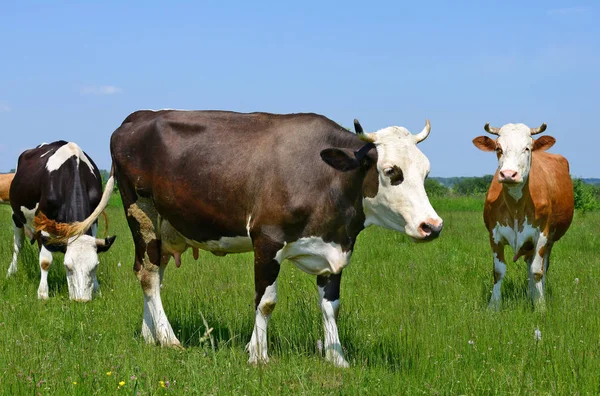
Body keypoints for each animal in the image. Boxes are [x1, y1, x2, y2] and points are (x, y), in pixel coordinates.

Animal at [7, 141, 116, 302]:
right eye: (67, 266)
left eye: (95, 266)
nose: (81, 300)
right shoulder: (44, 223)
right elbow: (45, 261)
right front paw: (43, 293)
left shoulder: (93, 220)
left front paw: (96, 289)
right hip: (16, 217)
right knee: (17, 246)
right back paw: (11, 271)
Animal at [109, 109, 446, 368]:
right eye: (391, 171)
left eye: (426, 173)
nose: (432, 226)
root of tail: (139, 116)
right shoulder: (267, 240)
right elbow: (266, 301)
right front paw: (258, 355)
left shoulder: (333, 251)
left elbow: (331, 306)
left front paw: (337, 359)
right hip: (141, 212)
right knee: (148, 275)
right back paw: (169, 339)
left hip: (166, 227)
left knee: (153, 273)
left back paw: (150, 335)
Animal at [472, 123, 576, 310]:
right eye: (498, 148)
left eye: (527, 148)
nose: (508, 174)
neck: (516, 208)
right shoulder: (494, 235)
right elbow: (498, 271)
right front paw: (493, 307)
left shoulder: (542, 234)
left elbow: (537, 272)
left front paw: (540, 306)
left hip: (549, 241)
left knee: (542, 267)